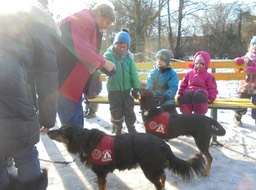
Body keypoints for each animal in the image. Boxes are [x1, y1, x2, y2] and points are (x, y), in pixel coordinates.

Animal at [47, 125, 205, 189]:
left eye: (62, 131)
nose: (48, 131)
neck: (87, 141)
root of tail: (163, 144)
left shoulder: (101, 173)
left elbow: (100, 187)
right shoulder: (102, 175)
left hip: (148, 169)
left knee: (159, 183)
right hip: (154, 167)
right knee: (163, 176)